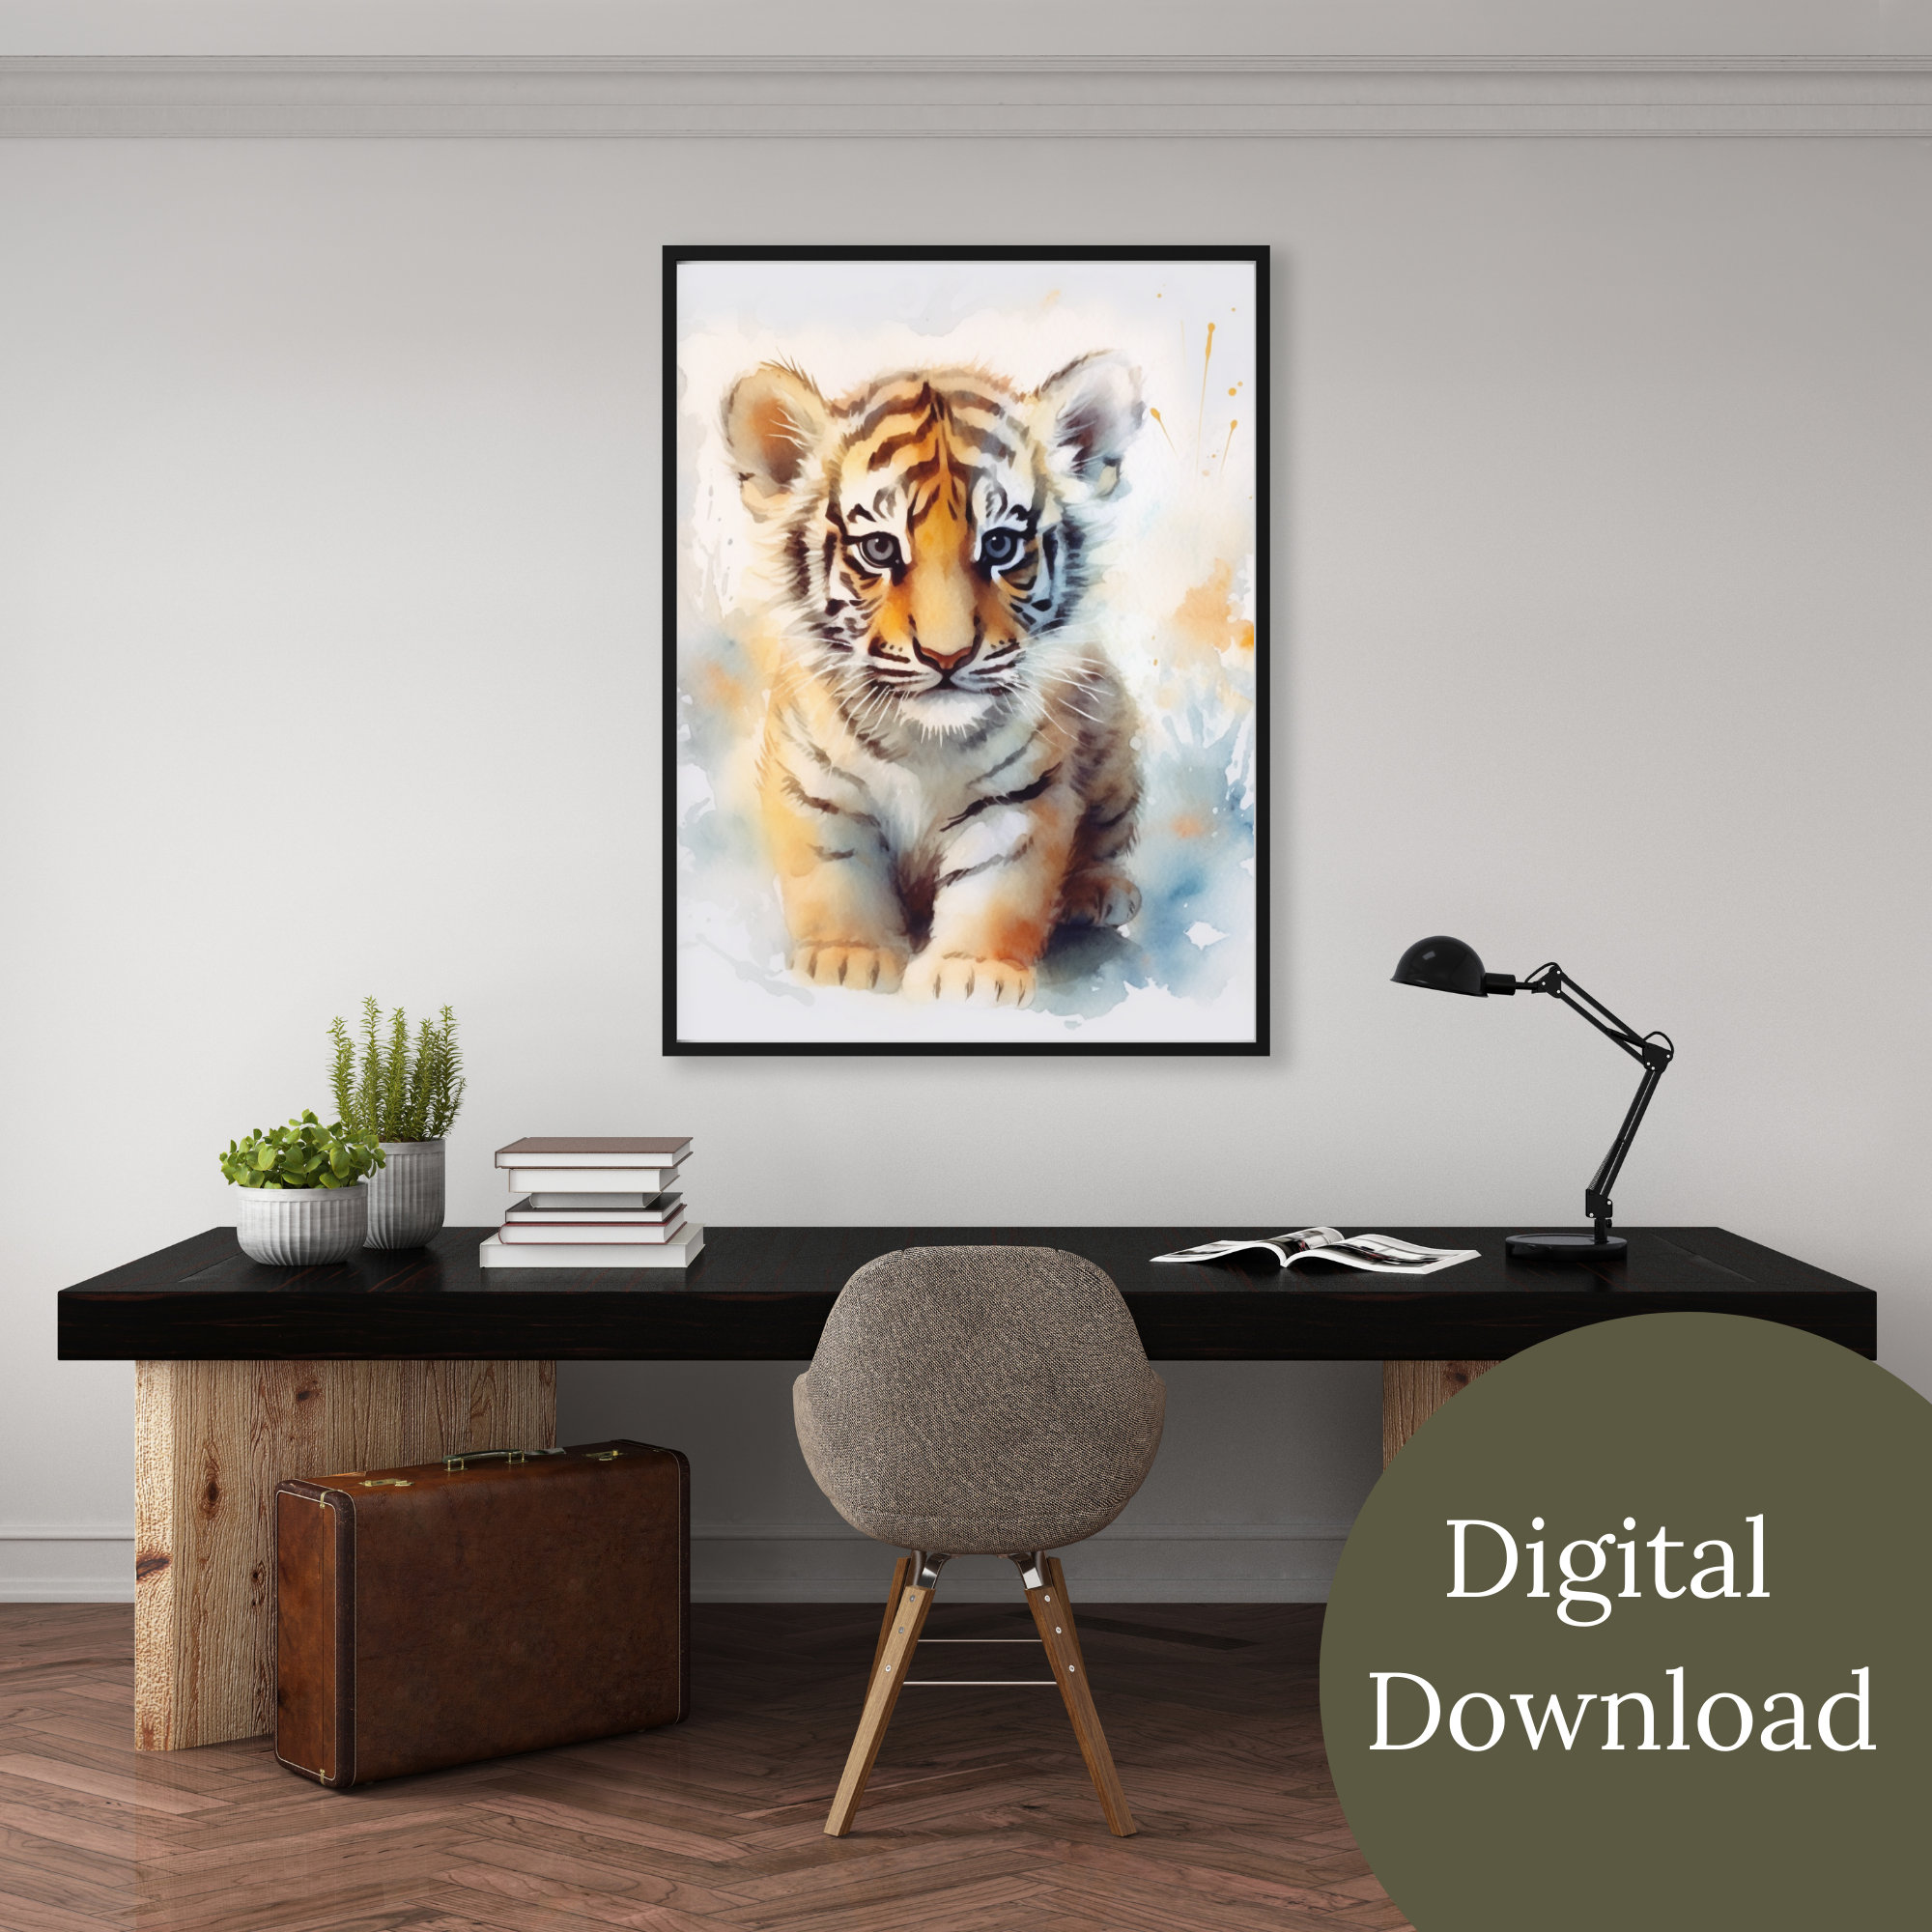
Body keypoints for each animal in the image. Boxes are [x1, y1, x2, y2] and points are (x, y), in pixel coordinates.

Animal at [720, 351, 1146, 1008]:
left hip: (1109, 727)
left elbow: (994, 888)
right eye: (878, 548)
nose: (947, 656)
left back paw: (1095, 892)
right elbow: (835, 872)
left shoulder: (1019, 796)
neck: (922, 742)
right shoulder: (815, 786)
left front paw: (973, 972)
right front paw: (849, 955)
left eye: (1000, 545)